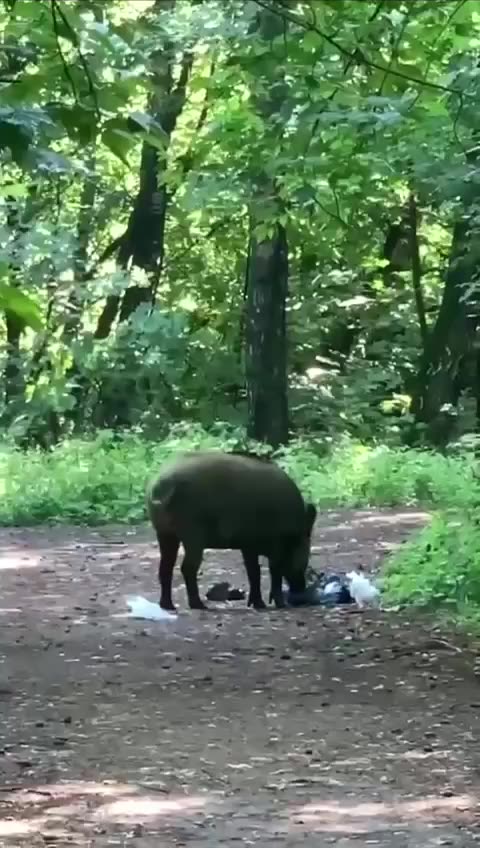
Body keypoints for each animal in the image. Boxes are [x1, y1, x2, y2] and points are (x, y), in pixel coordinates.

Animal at [146, 450, 317, 612]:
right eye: (306, 550)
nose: (301, 590)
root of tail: (160, 487)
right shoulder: (276, 544)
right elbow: (275, 572)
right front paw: (280, 605)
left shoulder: (248, 545)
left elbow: (254, 572)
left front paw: (258, 605)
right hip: (192, 534)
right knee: (187, 567)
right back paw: (199, 605)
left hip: (165, 533)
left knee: (165, 568)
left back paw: (168, 606)